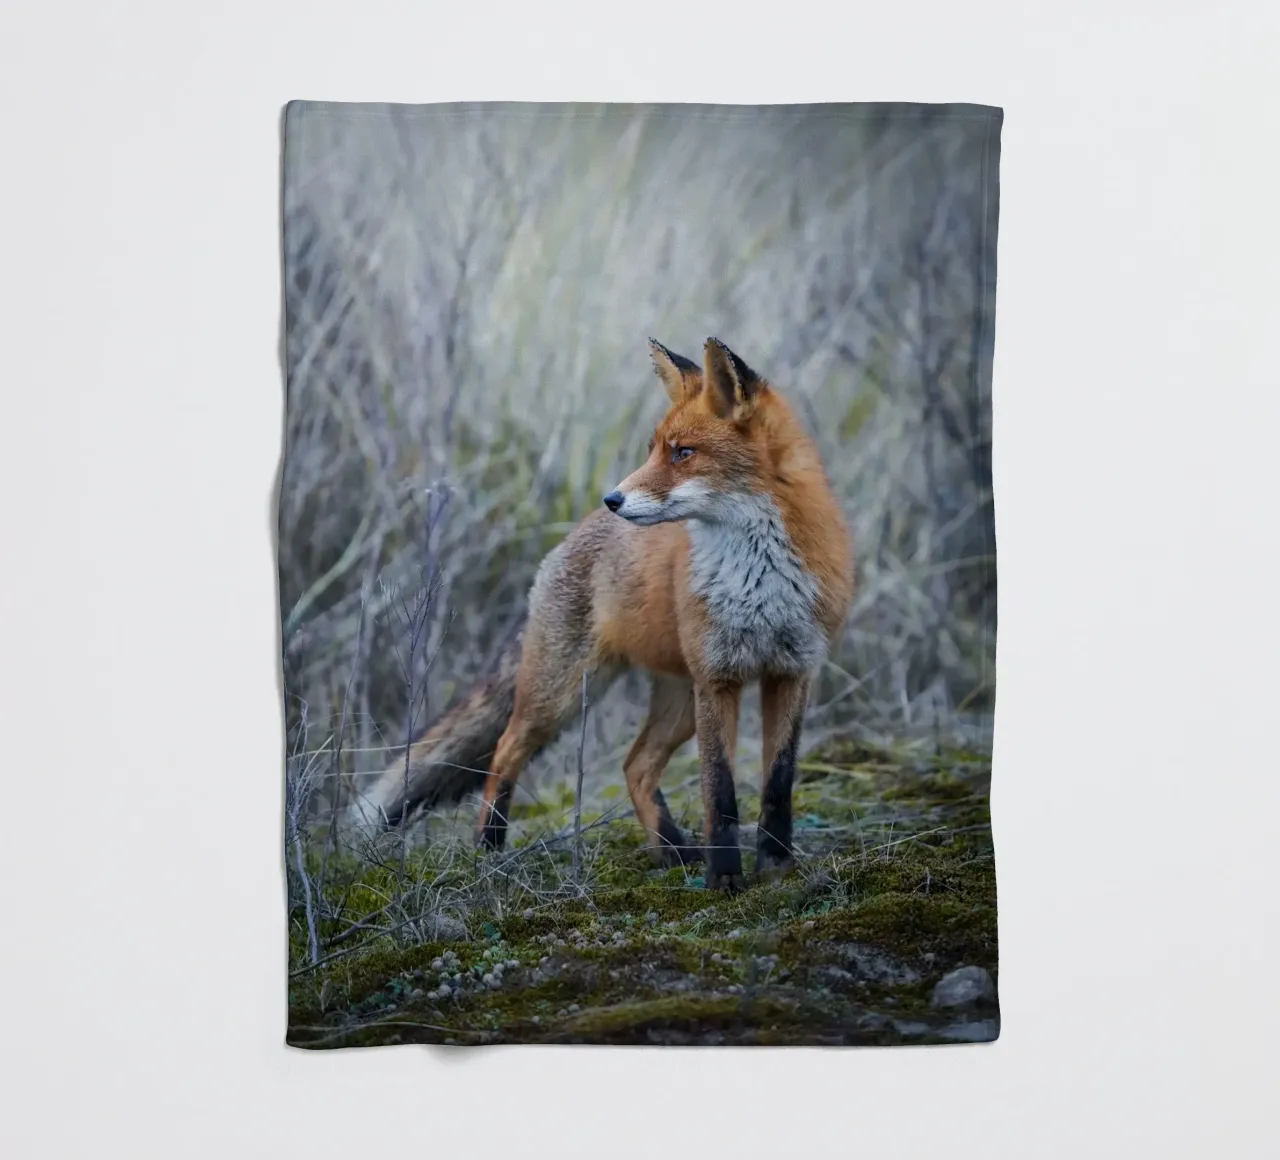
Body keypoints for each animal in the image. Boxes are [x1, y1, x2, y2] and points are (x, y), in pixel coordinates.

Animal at [355, 337, 854, 891]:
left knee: (635, 766)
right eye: (654, 449)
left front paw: (777, 867)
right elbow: (720, 794)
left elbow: (778, 783)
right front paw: (725, 879)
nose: (613, 497)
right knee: (505, 751)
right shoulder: (718, 678)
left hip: (677, 703)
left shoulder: (792, 671)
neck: (758, 579)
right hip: (563, 694)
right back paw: (489, 847)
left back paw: (672, 851)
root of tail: (571, 535)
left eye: (683, 453)